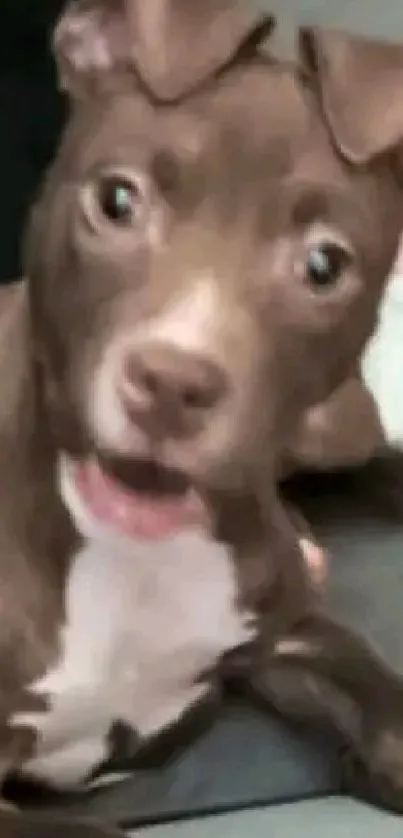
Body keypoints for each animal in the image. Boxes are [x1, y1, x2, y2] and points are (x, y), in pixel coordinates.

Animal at [3, 1, 403, 838]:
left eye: (324, 264)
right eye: (116, 200)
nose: (171, 383)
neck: (132, 557)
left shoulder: (286, 632)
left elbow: (382, 699)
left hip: (330, 429)